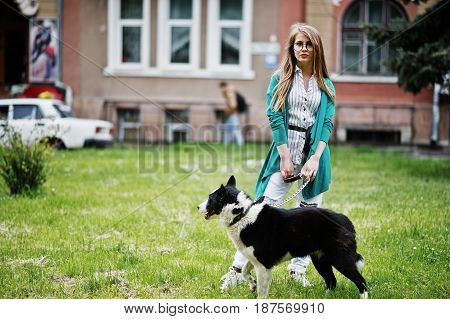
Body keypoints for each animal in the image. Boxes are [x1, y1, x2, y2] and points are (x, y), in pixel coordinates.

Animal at [199, 176, 368, 298]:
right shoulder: (254, 259)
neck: (242, 214)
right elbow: (245, 271)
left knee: (361, 282)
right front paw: (252, 284)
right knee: (332, 281)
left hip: (340, 259)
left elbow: (262, 293)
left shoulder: (264, 265)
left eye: (210, 198)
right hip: (320, 260)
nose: (197, 206)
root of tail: (345, 220)